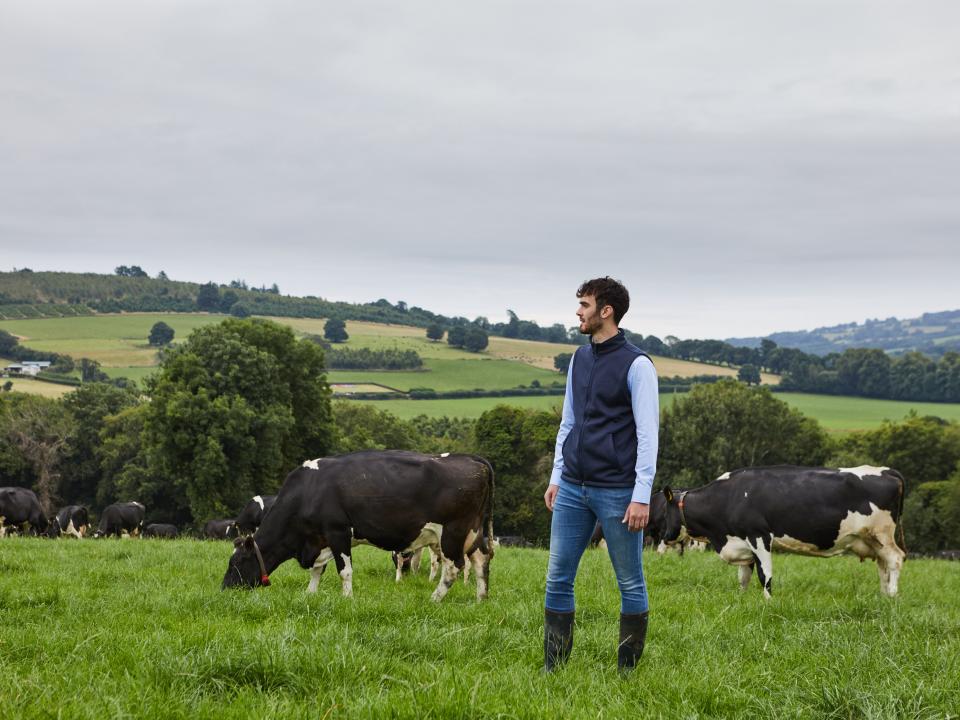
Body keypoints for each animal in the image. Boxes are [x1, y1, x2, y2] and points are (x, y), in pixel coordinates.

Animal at [223, 450, 496, 600]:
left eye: (236, 562)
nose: (225, 589)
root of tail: (473, 459)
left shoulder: (337, 532)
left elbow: (344, 570)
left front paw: (347, 598)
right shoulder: (319, 539)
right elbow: (317, 570)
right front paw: (310, 594)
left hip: (452, 532)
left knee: (453, 568)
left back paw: (434, 598)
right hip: (472, 532)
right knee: (481, 560)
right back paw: (481, 598)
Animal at [648, 464, 904, 600]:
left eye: (664, 512)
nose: (663, 537)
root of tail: (888, 471)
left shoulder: (759, 536)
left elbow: (765, 575)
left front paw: (768, 601)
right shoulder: (742, 543)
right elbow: (743, 577)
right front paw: (742, 598)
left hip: (882, 534)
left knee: (895, 559)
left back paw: (892, 595)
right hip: (872, 540)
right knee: (882, 565)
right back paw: (883, 595)